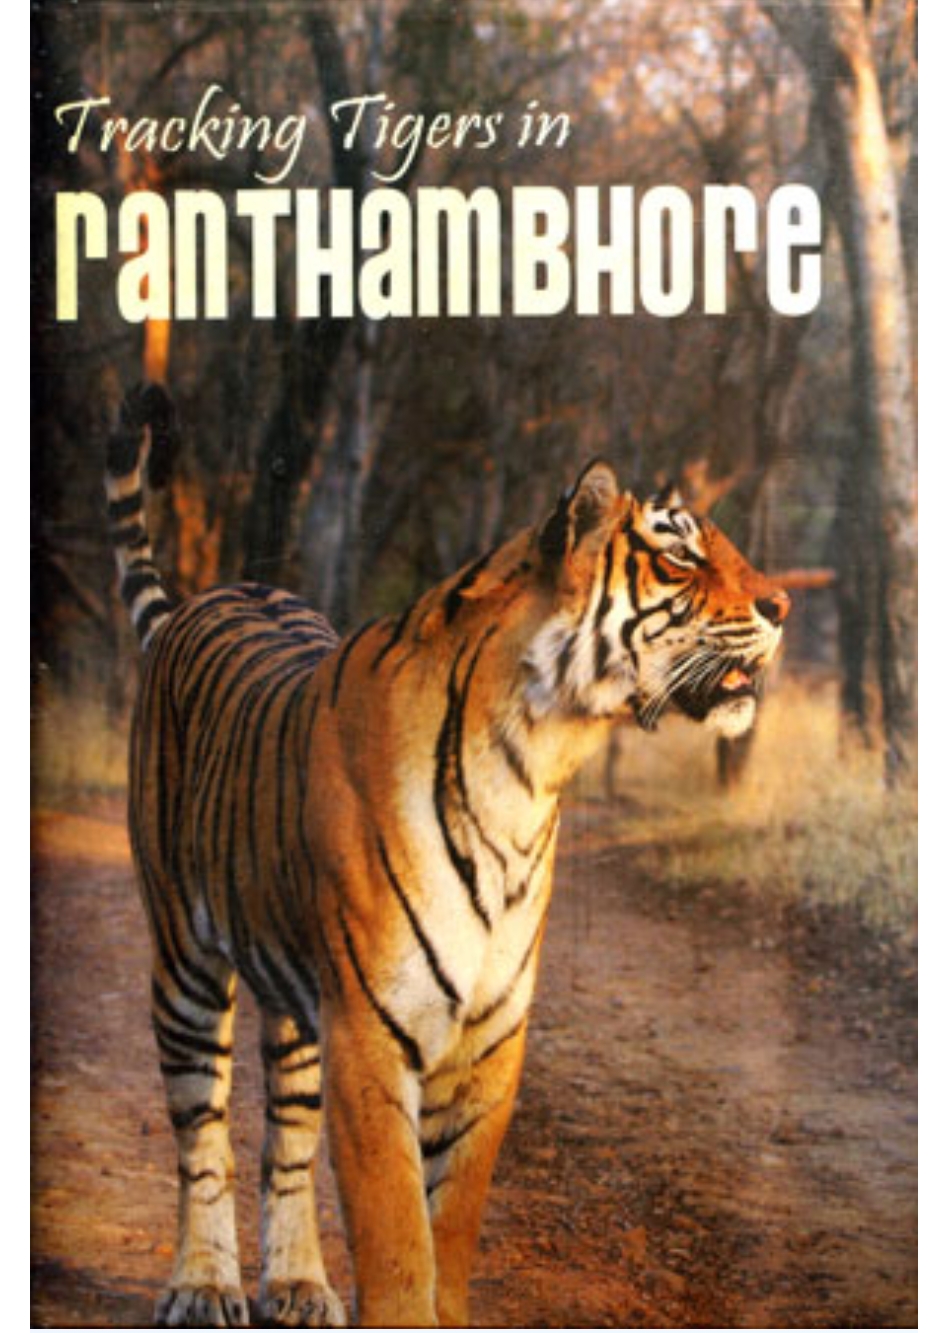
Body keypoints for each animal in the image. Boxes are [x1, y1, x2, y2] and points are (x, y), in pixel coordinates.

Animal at [105, 383, 788, 1329]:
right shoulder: (369, 1029)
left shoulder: (489, 1040)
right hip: (185, 959)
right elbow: (397, 1237)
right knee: (202, 1130)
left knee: (285, 1133)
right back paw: (204, 1285)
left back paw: (299, 1283)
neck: (538, 760)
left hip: (292, 998)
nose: (784, 606)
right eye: (680, 556)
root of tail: (201, 601)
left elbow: (450, 1225)